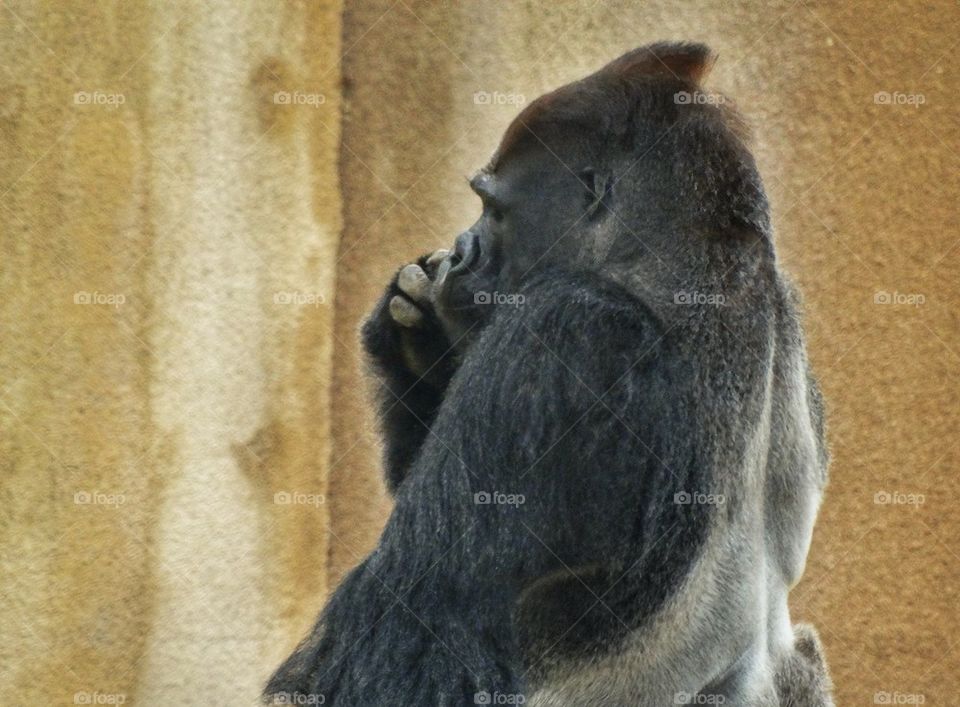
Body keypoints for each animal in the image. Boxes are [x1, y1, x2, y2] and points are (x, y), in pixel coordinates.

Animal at [265, 41, 833, 706]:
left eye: (491, 206)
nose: (461, 251)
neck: (688, 258)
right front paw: (422, 345)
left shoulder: (562, 328)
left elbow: (419, 619)